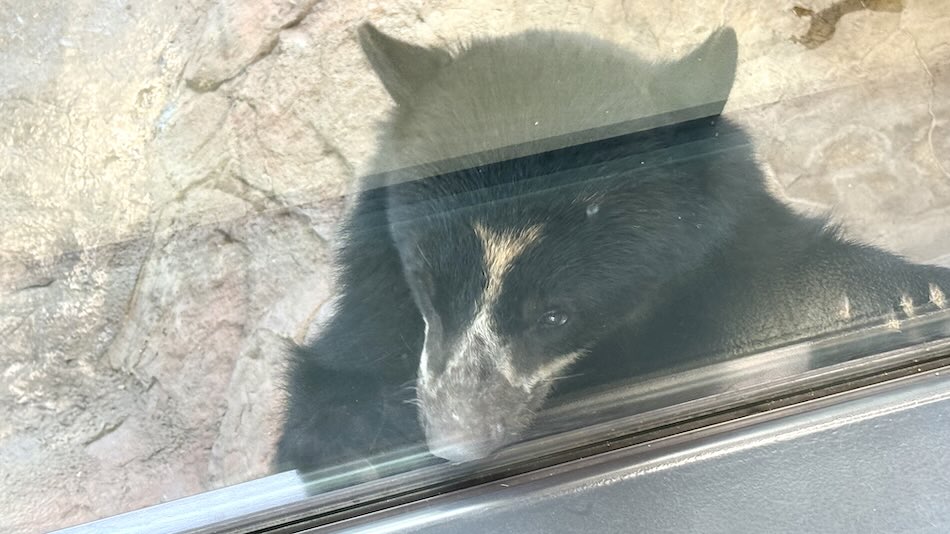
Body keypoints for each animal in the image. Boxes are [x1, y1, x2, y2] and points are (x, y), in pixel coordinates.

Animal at [275, 22, 950, 481]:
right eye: (424, 286)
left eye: (556, 315)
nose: (455, 443)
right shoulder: (377, 295)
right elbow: (342, 372)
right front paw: (357, 437)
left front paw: (914, 299)